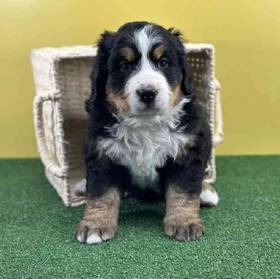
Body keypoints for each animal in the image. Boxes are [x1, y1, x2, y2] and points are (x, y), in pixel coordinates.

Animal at [75, 21, 215, 245]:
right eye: (124, 66)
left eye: (164, 62)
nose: (148, 93)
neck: (145, 124)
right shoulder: (101, 152)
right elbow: (101, 193)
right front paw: (95, 225)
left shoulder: (188, 150)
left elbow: (183, 191)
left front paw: (184, 222)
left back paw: (207, 192)